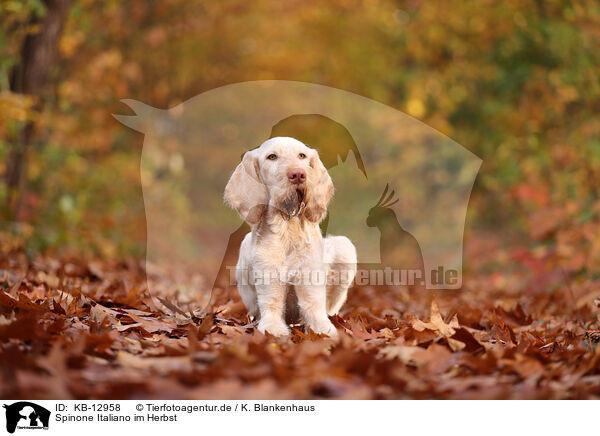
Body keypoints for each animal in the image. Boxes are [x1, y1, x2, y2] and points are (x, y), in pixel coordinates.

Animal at [225, 136, 356, 338]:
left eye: (302, 156)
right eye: (272, 156)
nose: (298, 174)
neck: (288, 228)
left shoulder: (311, 285)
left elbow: (318, 316)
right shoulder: (269, 283)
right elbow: (271, 314)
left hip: (345, 247)